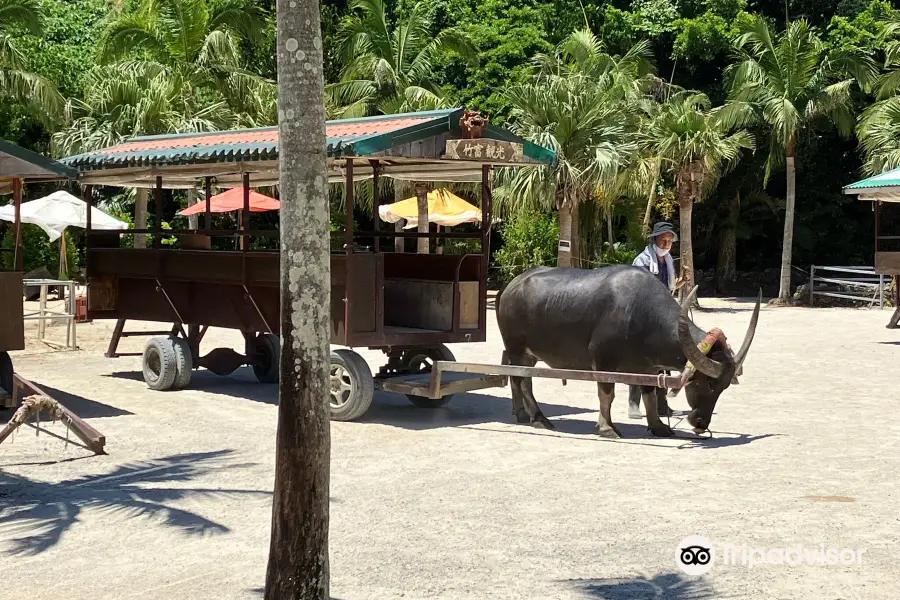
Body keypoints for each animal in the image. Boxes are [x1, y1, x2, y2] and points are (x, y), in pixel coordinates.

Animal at [496, 264, 756, 438]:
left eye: (723, 387)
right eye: (706, 383)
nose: (701, 422)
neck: (643, 316)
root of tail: (509, 288)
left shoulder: (648, 368)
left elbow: (650, 394)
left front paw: (659, 426)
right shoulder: (602, 360)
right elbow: (606, 395)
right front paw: (606, 427)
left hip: (527, 354)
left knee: (517, 376)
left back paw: (522, 413)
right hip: (517, 348)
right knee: (522, 380)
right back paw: (539, 418)